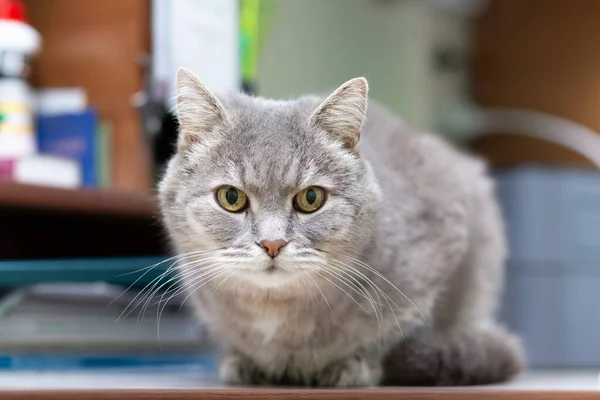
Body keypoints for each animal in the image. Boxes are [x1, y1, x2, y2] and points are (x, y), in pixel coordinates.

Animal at [158, 67, 524, 386]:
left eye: (310, 198)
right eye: (231, 197)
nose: (272, 243)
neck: (275, 311)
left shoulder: (437, 263)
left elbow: (390, 336)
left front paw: (353, 365)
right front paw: (244, 363)